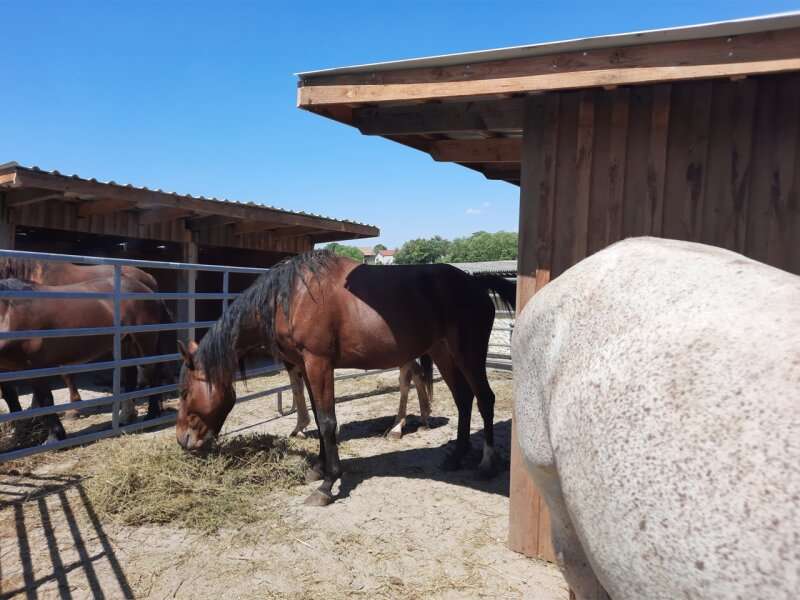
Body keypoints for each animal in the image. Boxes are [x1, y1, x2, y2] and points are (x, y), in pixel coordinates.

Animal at [0, 276, 170, 440]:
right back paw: (125, 418)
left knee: (152, 374)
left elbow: (46, 400)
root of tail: (148, 290)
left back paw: (152, 414)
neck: (9, 312)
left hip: (145, 342)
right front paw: (18, 434)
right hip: (126, 343)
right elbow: (11, 398)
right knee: (130, 376)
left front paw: (55, 436)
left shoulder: (36, 367)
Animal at [286, 356, 434, 440]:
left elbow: (297, 388)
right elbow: (299, 388)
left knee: (405, 380)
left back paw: (396, 429)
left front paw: (299, 428)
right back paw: (424, 418)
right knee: (417, 373)